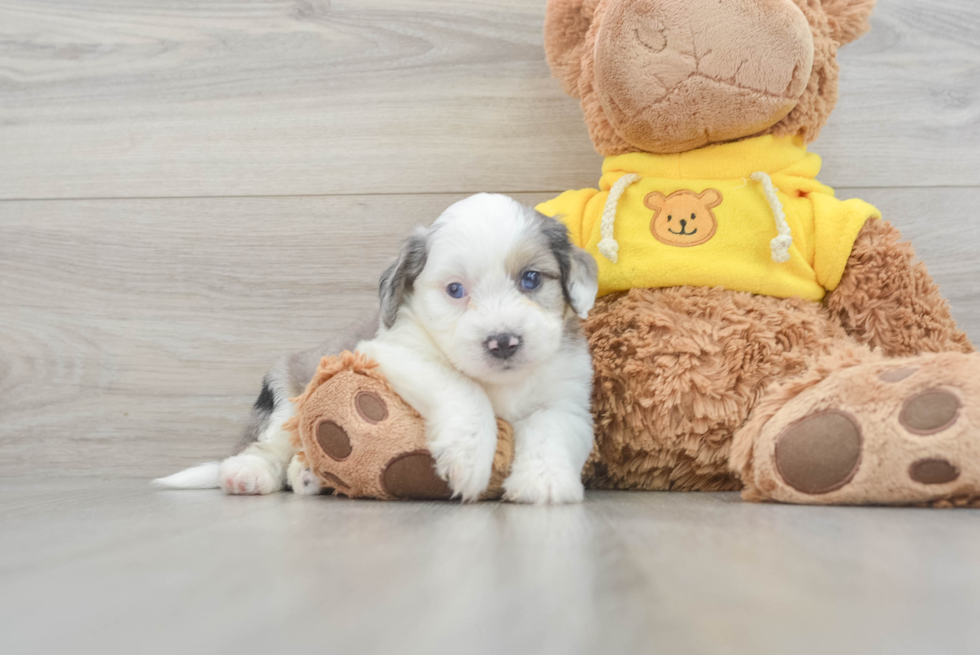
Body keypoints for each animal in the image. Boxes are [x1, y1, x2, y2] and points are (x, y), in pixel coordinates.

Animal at [155, 192, 596, 504]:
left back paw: (308, 474)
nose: (503, 342)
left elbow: (551, 429)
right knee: (267, 445)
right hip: (287, 399)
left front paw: (544, 481)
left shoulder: (567, 397)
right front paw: (469, 456)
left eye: (531, 279)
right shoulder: (391, 352)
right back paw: (248, 473)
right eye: (455, 290)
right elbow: (461, 387)